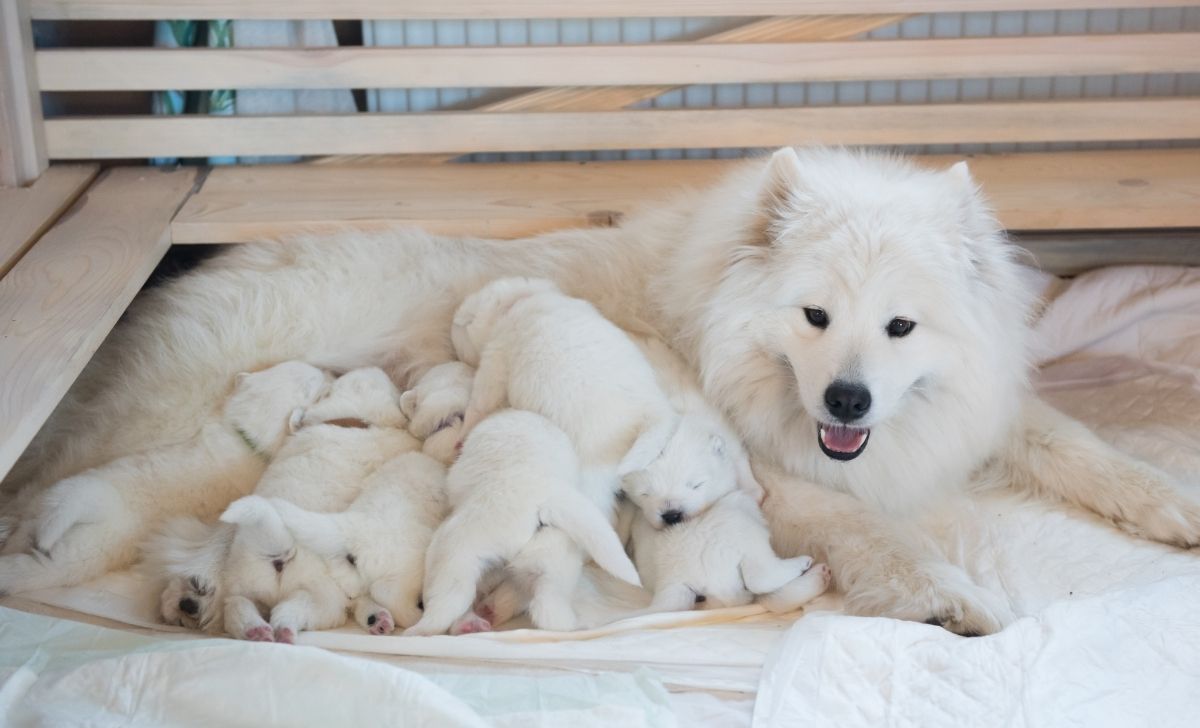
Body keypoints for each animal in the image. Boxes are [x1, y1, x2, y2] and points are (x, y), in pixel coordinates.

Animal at [0, 362, 333, 597]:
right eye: (313, 383)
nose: (330, 371)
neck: (245, 436)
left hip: (79, 547)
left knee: (39, 557)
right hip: (84, 497)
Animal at [152, 366, 420, 642]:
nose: (332, 371)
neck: (351, 419)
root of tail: (280, 550)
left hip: (254, 583)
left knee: (239, 605)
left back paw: (255, 628)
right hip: (323, 596)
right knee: (290, 609)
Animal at [225, 453, 451, 633]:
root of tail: (354, 526)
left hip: (299, 593)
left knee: (246, 604)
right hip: (407, 565)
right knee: (389, 594)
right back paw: (416, 617)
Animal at [408, 410, 643, 638]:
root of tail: (542, 500)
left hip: (456, 553)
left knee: (447, 606)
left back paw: (423, 630)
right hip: (554, 562)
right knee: (548, 609)